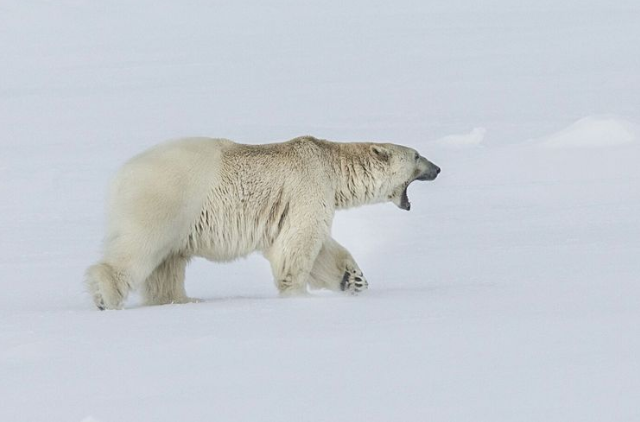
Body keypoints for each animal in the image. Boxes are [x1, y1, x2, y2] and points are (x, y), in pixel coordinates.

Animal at [85, 136, 440, 310]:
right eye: (417, 155)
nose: (437, 168)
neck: (330, 163)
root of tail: (120, 177)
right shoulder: (308, 187)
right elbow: (299, 241)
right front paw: (297, 295)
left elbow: (317, 247)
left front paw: (352, 280)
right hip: (168, 199)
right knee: (141, 247)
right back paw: (105, 295)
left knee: (168, 263)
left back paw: (180, 299)